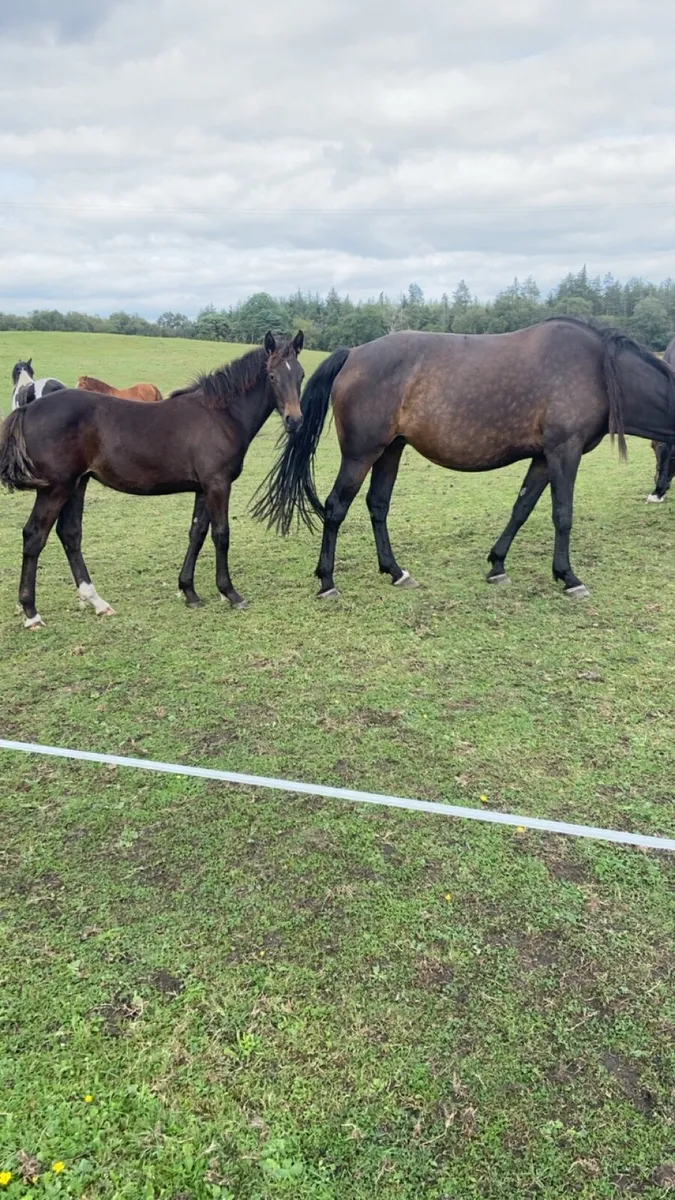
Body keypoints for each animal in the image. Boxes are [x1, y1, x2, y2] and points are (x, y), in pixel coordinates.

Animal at [0, 332, 304, 628]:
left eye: (300, 375)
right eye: (273, 376)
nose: (295, 420)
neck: (220, 415)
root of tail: (27, 409)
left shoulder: (204, 488)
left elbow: (197, 533)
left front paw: (189, 591)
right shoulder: (218, 484)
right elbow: (221, 534)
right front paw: (230, 593)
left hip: (77, 484)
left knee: (70, 534)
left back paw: (97, 602)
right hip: (56, 488)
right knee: (34, 536)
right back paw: (31, 613)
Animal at [253, 317, 675, 601]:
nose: (657, 492)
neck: (597, 370)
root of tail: (353, 354)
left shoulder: (543, 457)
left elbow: (521, 508)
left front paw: (497, 565)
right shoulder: (564, 451)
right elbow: (563, 515)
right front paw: (569, 577)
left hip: (391, 449)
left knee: (377, 505)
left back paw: (395, 572)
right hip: (361, 453)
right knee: (336, 507)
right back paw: (327, 581)